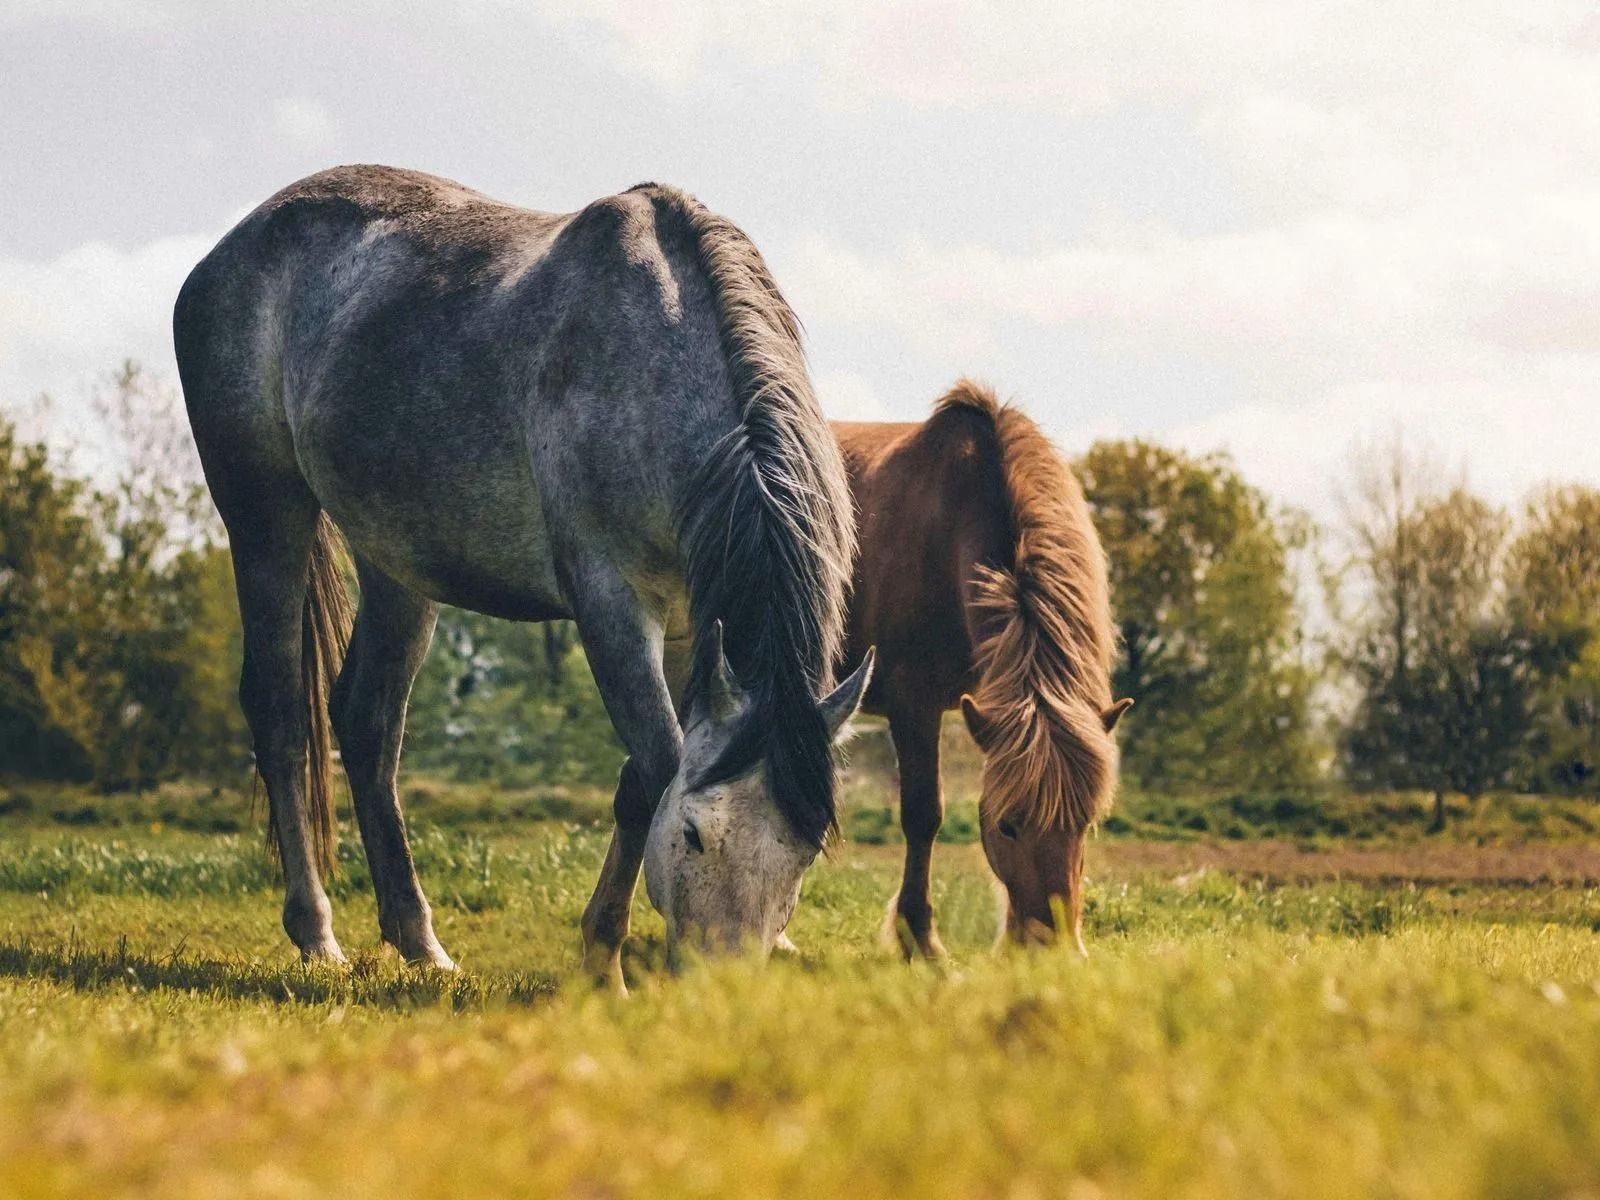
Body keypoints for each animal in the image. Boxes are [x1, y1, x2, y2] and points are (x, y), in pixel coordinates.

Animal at [173, 165, 873, 984]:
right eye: (697, 835)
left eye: (804, 853)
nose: (721, 986)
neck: (659, 359)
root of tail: (230, 249)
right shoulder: (610, 601)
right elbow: (657, 765)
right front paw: (605, 963)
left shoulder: (688, 626)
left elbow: (641, 779)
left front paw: (599, 950)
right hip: (265, 515)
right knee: (283, 715)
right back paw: (316, 932)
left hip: (396, 562)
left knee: (367, 724)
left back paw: (419, 941)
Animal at [834, 381, 1130, 957]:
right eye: (1008, 826)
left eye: (1084, 824)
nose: (1053, 949)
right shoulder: (914, 703)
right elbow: (923, 815)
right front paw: (921, 940)